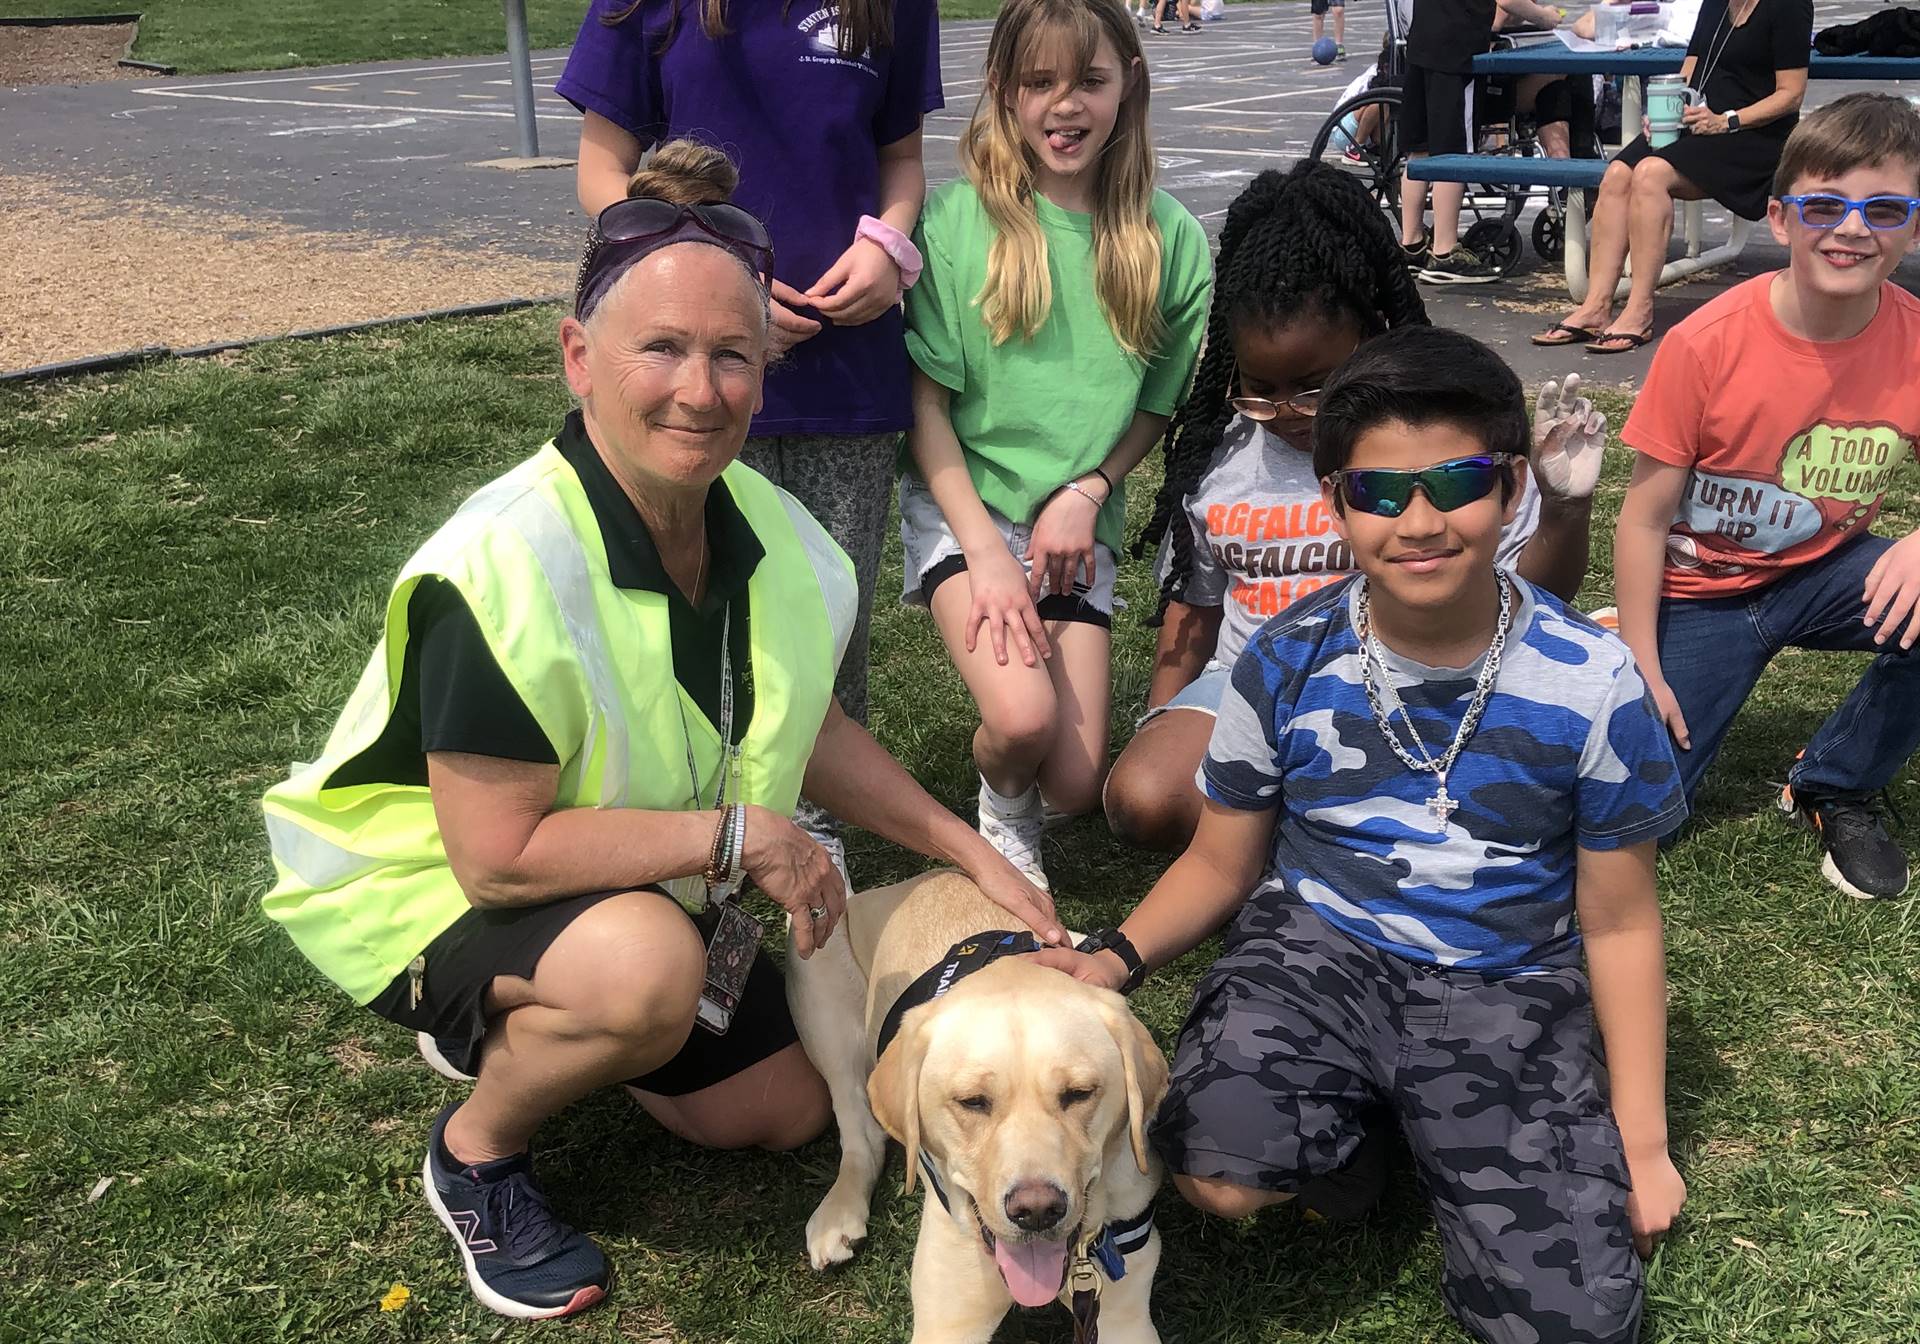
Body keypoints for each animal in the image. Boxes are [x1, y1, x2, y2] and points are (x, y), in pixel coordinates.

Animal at [783, 871, 1167, 1344]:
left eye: (1079, 1093)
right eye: (972, 1101)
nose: (1037, 1211)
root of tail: (922, 878)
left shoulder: (1123, 1318)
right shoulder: (947, 1318)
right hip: (817, 966)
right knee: (859, 1129)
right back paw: (837, 1216)